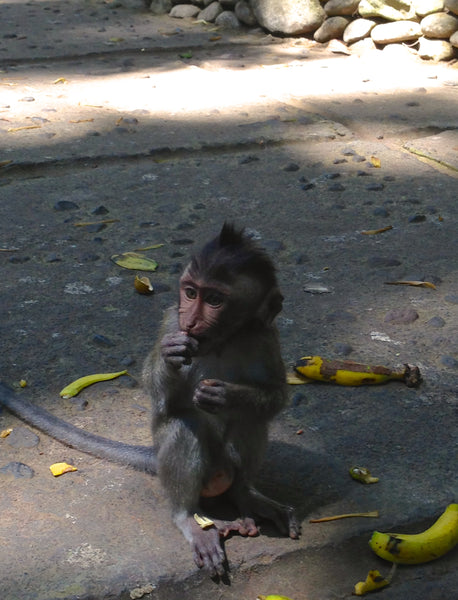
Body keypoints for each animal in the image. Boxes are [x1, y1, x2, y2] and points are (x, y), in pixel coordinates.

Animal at [0, 224, 300, 576]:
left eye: (214, 299)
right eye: (190, 293)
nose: (191, 320)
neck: (221, 341)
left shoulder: (266, 335)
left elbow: (276, 394)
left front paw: (227, 394)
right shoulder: (171, 321)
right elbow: (159, 397)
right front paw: (170, 357)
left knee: (249, 419)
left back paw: (246, 495)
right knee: (184, 426)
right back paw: (189, 519)